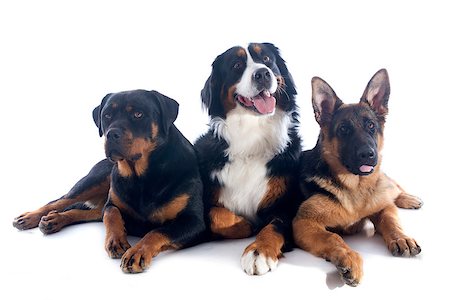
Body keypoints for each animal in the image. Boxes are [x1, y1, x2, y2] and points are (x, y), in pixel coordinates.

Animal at [194, 42, 302, 274]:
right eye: (236, 65)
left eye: (267, 59)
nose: (262, 73)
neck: (251, 140)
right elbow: (216, 215)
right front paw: (246, 224)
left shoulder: (285, 206)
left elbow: (272, 227)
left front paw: (259, 251)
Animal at [292, 69, 422, 288]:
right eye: (344, 129)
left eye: (371, 126)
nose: (368, 154)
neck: (355, 187)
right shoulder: (304, 222)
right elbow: (333, 237)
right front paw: (349, 258)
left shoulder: (383, 206)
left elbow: (390, 220)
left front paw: (401, 237)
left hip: (384, 185)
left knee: (393, 186)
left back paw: (408, 198)